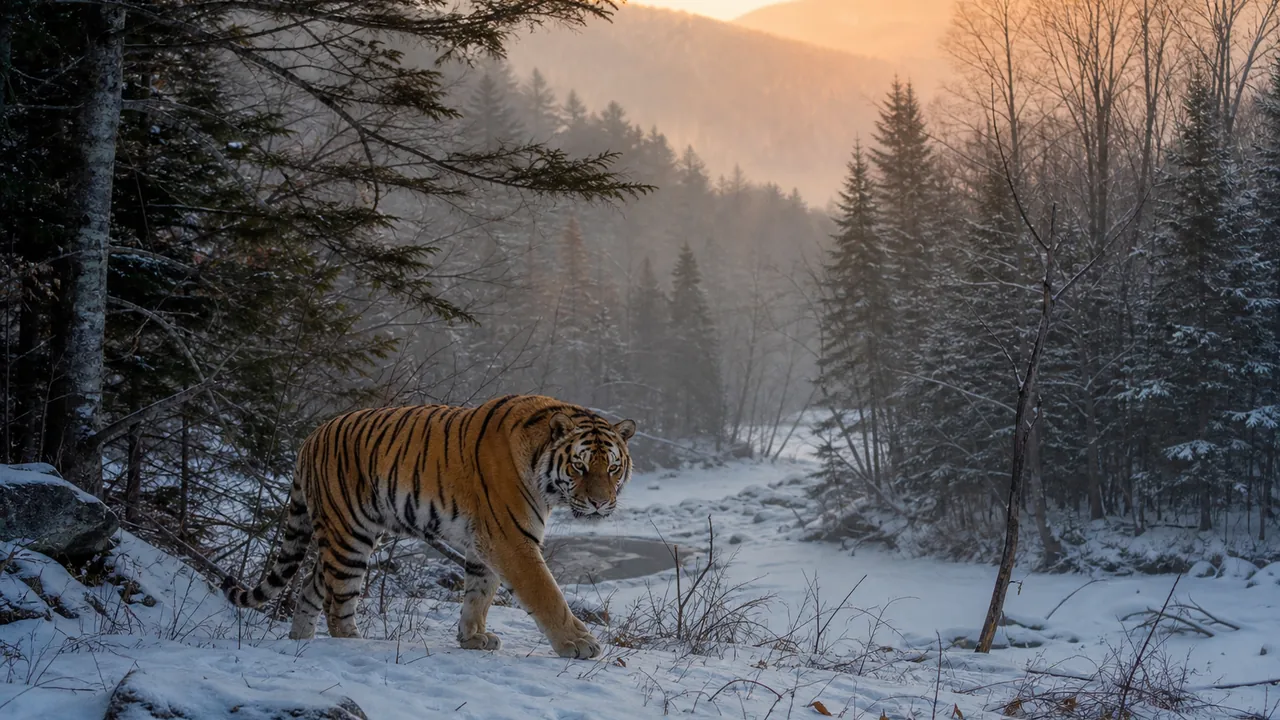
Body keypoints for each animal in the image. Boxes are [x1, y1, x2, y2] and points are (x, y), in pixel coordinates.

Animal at [222, 394, 636, 659]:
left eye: (613, 468)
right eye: (580, 466)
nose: (600, 503)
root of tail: (309, 437)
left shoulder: (486, 542)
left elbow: (479, 593)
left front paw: (473, 638)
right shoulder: (511, 539)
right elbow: (547, 594)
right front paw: (578, 644)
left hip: (348, 535)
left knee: (309, 587)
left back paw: (299, 642)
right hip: (348, 537)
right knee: (336, 603)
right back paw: (353, 643)